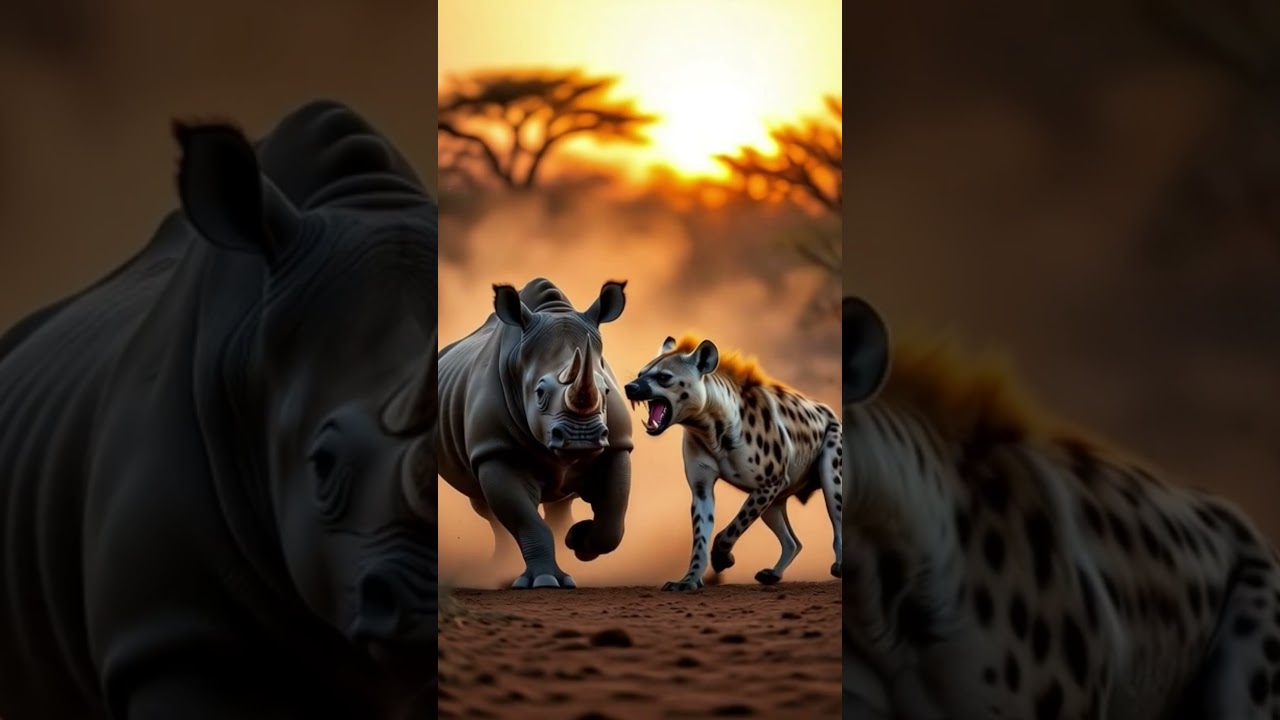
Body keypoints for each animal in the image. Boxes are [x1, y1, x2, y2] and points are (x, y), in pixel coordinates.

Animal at [438, 277, 634, 589]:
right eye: (539, 393)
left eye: (605, 391)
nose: (581, 438)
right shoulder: (495, 450)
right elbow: (525, 521)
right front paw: (545, 580)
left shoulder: (616, 445)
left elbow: (613, 518)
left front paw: (578, 540)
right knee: (486, 507)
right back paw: (498, 569)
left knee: (559, 503)